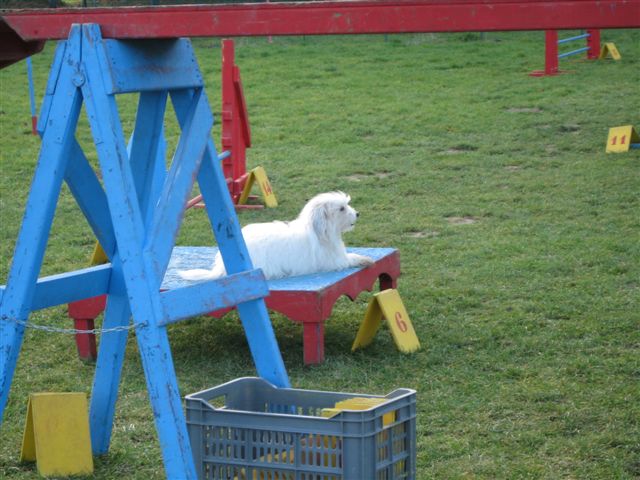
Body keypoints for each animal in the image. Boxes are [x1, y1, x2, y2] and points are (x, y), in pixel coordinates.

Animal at [178, 191, 372, 282]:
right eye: (342, 209)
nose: (358, 214)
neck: (319, 231)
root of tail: (221, 268)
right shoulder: (333, 261)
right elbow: (350, 258)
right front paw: (364, 259)